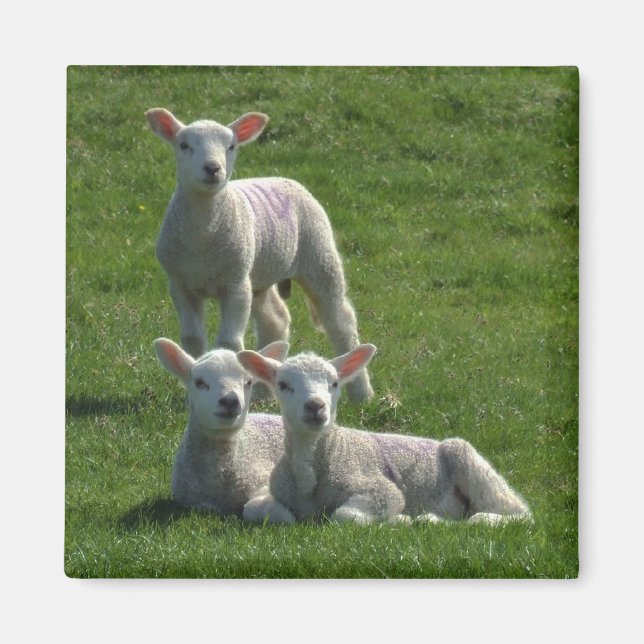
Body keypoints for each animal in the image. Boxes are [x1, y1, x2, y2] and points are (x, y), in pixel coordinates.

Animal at [145, 107, 373, 402]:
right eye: (184, 145)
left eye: (231, 146)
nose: (213, 168)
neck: (203, 235)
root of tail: (281, 178)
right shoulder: (180, 283)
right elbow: (191, 338)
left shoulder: (235, 283)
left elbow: (229, 342)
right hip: (260, 277)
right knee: (275, 320)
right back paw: (265, 391)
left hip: (319, 257)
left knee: (341, 322)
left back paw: (362, 394)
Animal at [154, 336, 290, 516]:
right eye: (199, 382)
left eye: (249, 382)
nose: (230, 401)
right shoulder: (188, 501)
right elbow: (205, 507)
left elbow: (252, 507)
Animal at [237, 345, 533, 526]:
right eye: (283, 385)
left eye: (334, 384)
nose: (316, 406)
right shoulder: (270, 493)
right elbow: (256, 510)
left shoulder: (381, 489)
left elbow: (344, 515)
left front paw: (397, 520)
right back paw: (430, 520)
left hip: (470, 463)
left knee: (519, 514)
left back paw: (483, 520)